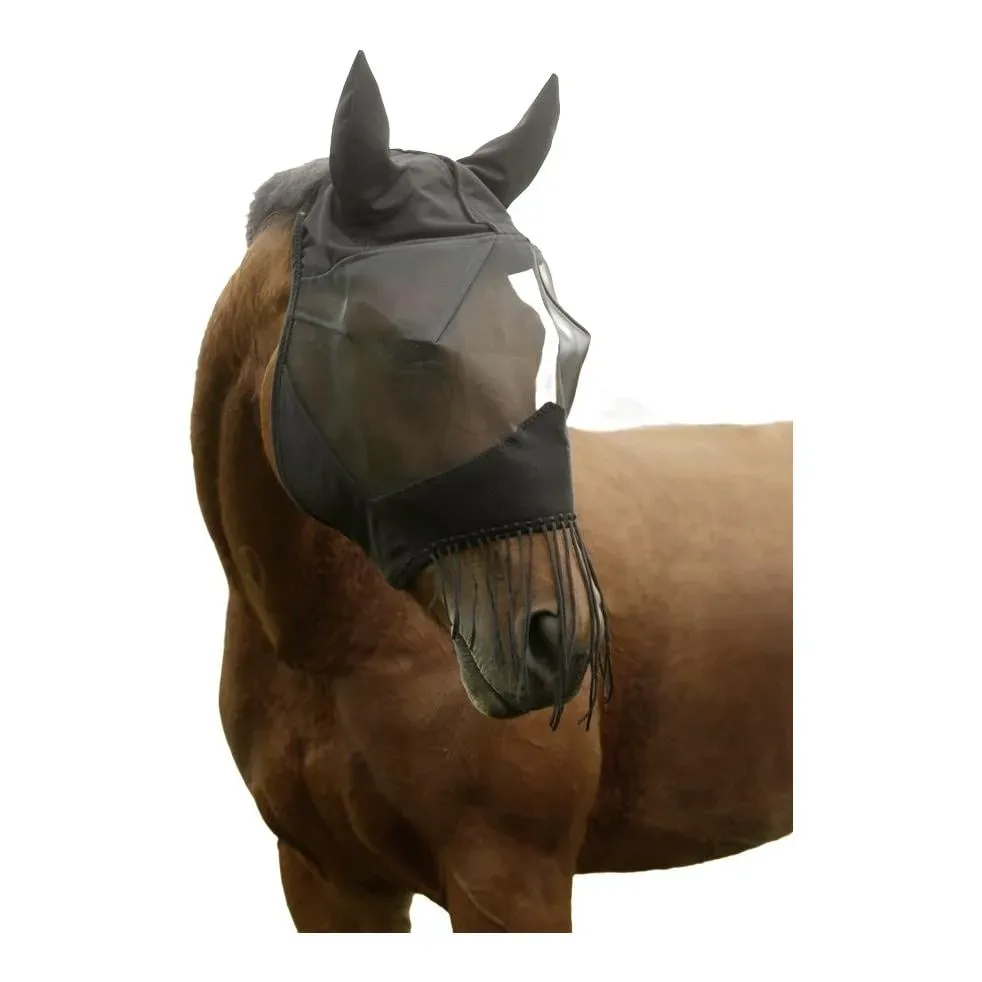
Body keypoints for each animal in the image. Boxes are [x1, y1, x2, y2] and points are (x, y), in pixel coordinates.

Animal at [190, 51, 792, 932]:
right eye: (410, 348)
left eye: (557, 344)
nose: (562, 643)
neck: (332, 647)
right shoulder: (328, 884)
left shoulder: (510, 883)